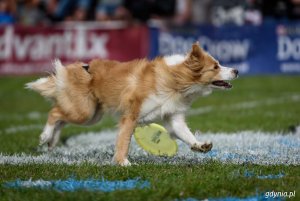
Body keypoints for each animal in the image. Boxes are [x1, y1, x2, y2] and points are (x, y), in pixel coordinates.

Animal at [26, 42, 239, 165]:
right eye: (216, 66)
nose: (236, 70)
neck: (174, 79)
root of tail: (75, 68)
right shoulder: (131, 115)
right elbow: (124, 141)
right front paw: (123, 163)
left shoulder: (173, 117)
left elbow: (185, 134)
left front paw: (200, 145)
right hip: (84, 112)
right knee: (55, 112)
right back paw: (46, 136)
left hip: (93, 115)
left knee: (61, 116)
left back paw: (52, 141)